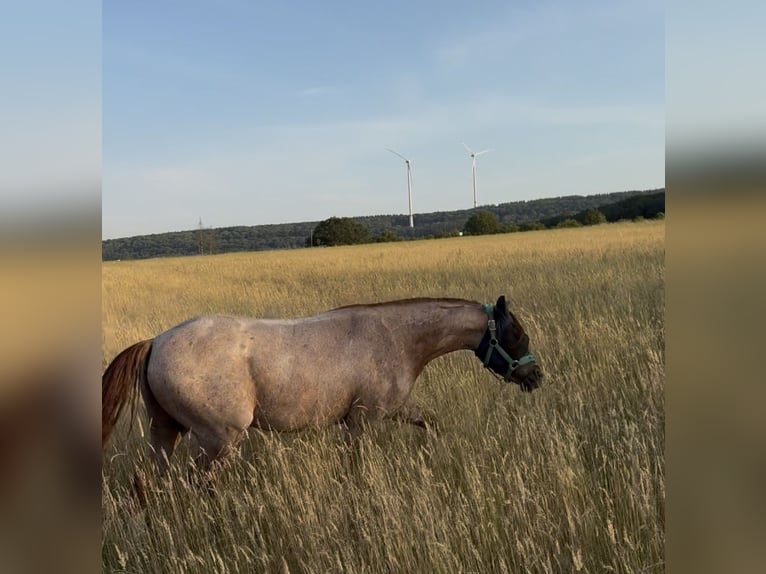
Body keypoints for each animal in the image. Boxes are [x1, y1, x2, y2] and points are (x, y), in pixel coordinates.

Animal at [102, 296, 542, 473]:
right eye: (517, 334)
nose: (536, 376)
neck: (396, 337)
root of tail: (157, 341)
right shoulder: (364, 421)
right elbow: (356, 465)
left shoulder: (395, 410)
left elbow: (430, 423)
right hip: (217, 439)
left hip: (166, 432)